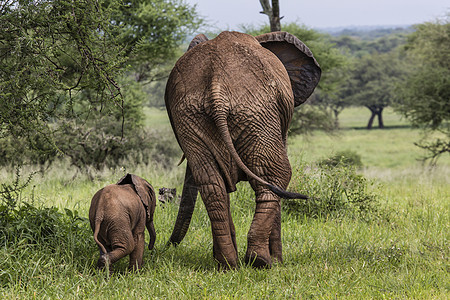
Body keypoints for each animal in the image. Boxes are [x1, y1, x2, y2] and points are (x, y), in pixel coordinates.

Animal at [165, 31, 320, 270]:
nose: (167, 245)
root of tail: (217, 86)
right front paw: (277, 261)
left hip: (191, 115)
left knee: (213, 185)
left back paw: (228, 264)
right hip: (257, 112)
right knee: (275, 176)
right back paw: (260, 261)